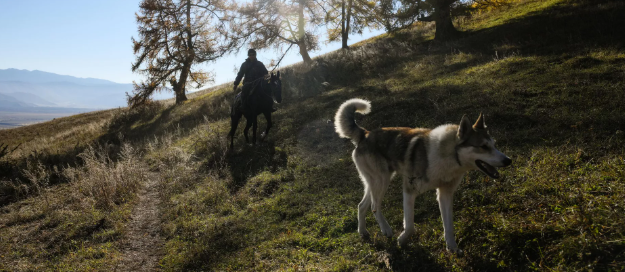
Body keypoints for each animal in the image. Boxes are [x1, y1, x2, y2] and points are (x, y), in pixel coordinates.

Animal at [334, 99, 510, 252]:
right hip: (381, 181)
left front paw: (452, 248)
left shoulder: (445, 194)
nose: (508, 160)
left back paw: (363, 232)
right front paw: (402, 240)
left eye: (494, 145)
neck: (448, 156)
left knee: (362, 205)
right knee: (374, 206)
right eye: (483, 147)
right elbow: (410, 226)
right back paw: (386, 229)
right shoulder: (409, 189)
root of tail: (365, 134)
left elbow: (449, 226)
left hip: (374, 182)